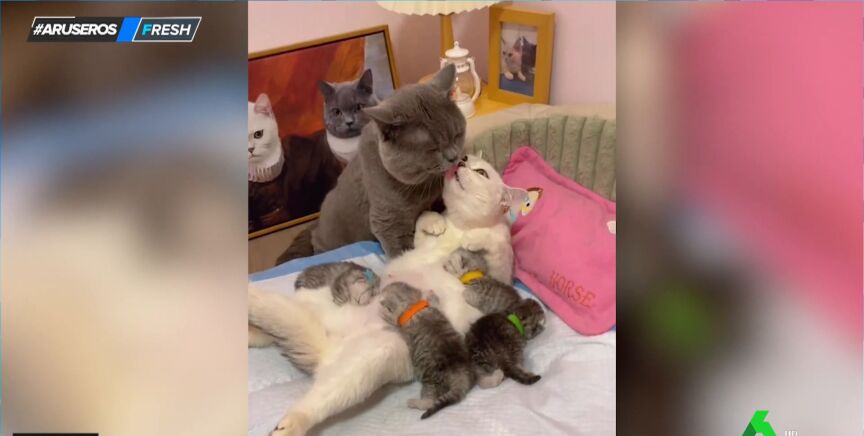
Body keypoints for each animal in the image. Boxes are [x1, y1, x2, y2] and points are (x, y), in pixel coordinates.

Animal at [276, 64, 464, 263]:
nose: (454, 157)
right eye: (433, 149)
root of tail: (315, 226)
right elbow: (399, 249)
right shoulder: (387, 220)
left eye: (457, 135)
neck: (420, 187)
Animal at [379, 282, 475, 419]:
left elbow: (394, 323)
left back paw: (414, 402)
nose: (381, 289)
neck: (413, 308)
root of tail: (459, 373)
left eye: (386, 290)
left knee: (429, 402)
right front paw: (430, 294)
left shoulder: (402, 326)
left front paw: (383, 315)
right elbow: (436, 303)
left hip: (430, 381)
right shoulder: (435, 309)